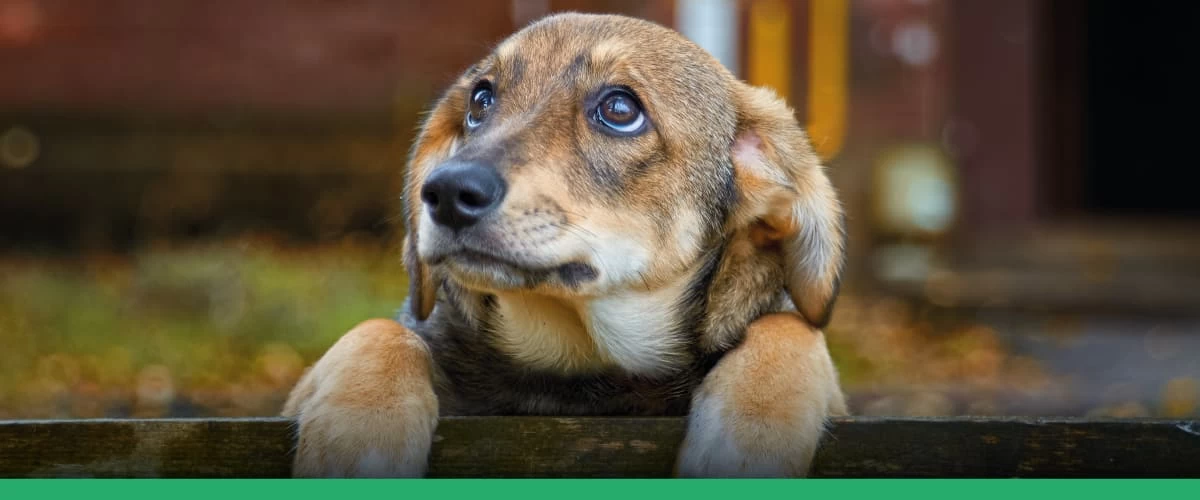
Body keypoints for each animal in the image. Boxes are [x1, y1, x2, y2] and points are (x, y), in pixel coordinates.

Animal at [282, 12, 848, 478]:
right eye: (481, 99)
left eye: (619, 108)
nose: (444, 193)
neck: (576, 366)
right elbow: (380, 330)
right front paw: (356, 435)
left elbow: (791, 328)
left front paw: (745, 441)